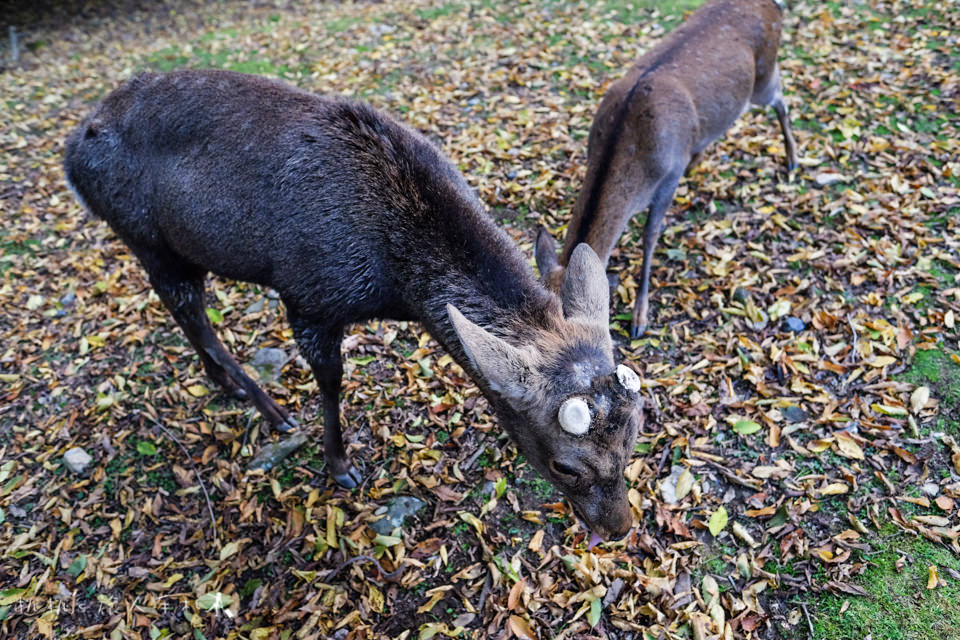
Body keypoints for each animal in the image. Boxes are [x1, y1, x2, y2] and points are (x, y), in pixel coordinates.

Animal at [536, 0, 800, 340]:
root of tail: (775, 7)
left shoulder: (670, 176)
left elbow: (650, 236)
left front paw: (640, 317)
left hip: (764, 78)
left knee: (781, 98)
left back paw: (792, 158)